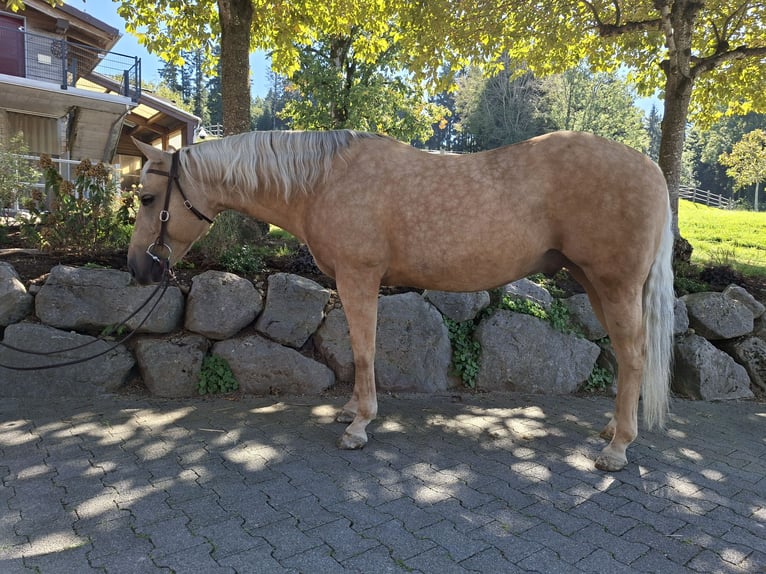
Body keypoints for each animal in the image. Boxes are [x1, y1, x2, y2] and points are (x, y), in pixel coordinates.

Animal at [127, 130, 674, 472]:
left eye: (148, 199)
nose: (138, 269)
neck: (323, 181)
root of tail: (652, 170)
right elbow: (356, 349)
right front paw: (350, 411)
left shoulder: (359, 277)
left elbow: (364, 348)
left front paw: (359, 425)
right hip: (594, 283)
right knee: (627, 356)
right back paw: (612, 430)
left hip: (615, 285)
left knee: (633, 356)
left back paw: (618, 449)